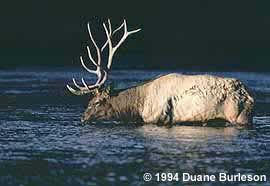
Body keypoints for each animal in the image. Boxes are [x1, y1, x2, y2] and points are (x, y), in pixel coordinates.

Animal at [66, 19, 254, 125]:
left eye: (96, 102)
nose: (82, 117)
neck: (138, 107)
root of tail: (249, 95)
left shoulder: (156, 118)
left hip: (240, 116)